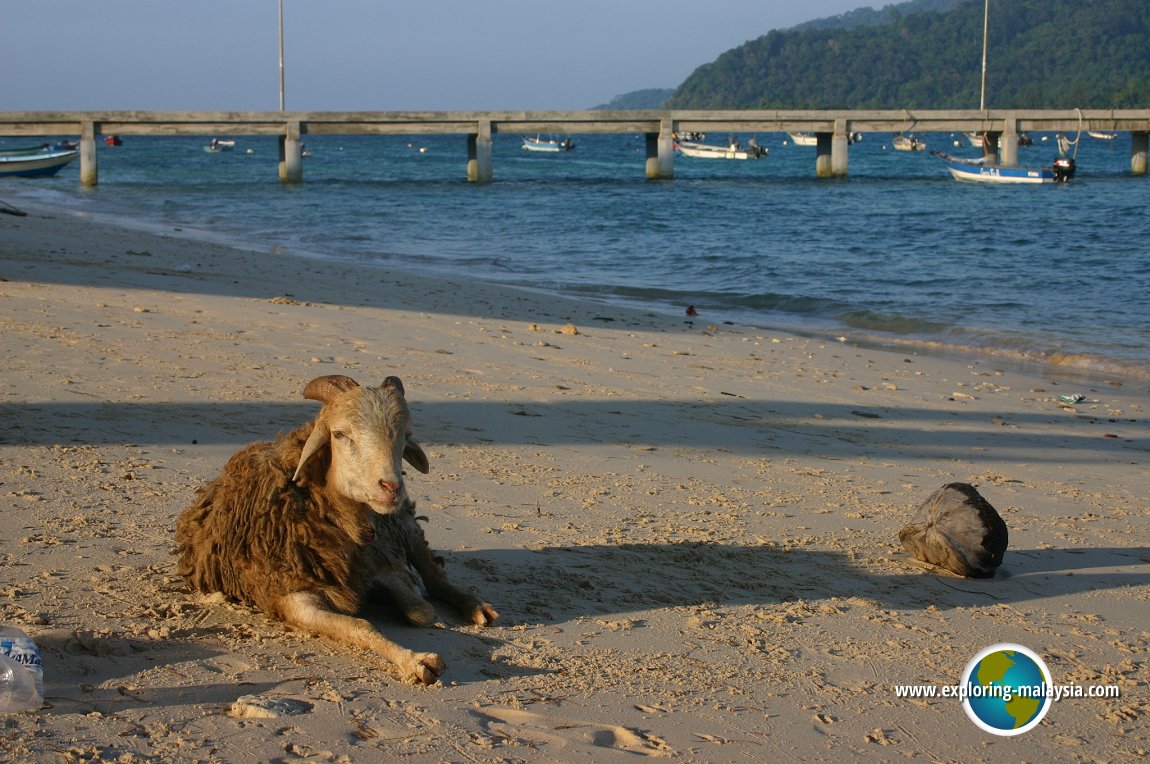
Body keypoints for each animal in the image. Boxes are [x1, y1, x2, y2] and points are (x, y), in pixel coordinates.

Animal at [172, 372, 496, 681]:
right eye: (339, 434)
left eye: (406, 435)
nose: (391, 488)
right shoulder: (291, 596)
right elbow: (360, 625)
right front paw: (416, 661)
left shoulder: (379, 560)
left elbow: (420, 610)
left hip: (406, 527)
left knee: (435, 575)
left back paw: (477, 608)